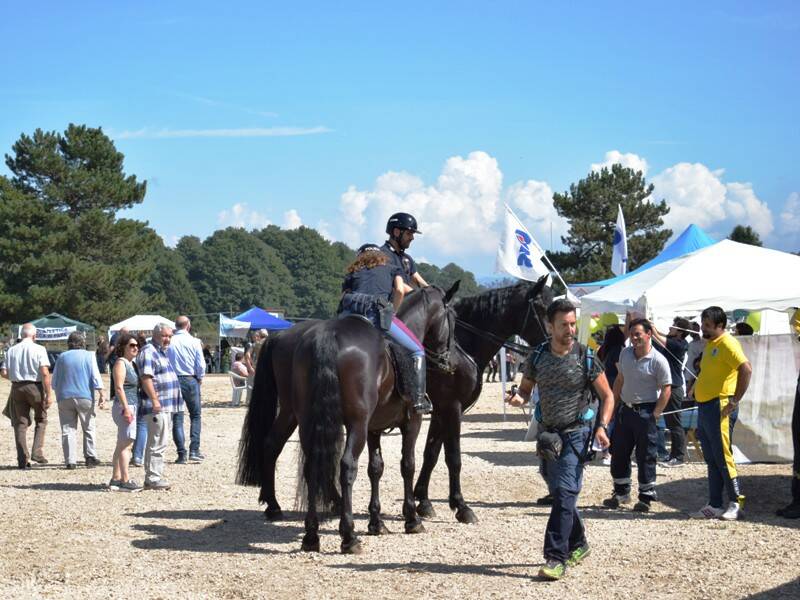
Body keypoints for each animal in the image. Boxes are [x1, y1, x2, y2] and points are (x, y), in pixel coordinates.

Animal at [236, 284, 456, 552]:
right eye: (452, 318)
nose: (447, 359)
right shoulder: (410, 422)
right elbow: (407, 465)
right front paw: (411, 519)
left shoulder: (373, 428)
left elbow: (376, 468)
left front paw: (376, 522)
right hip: (351, 424)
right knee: (346, 466)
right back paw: (347, 534)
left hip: (302, 417)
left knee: (297, 458)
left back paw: (305, 529)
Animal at [410, 274, 552, 524]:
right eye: (542, 308)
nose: (560, 341)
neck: (458, 347)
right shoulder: (451, 408)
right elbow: (453, 457)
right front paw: (461, 506)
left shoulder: (440, 410)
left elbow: (431, 454)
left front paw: (424, 502)